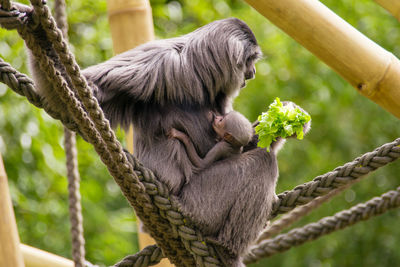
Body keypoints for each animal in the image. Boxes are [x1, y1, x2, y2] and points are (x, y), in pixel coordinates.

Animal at [2, 5, 284, 266]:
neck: (195, 74)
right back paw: (228, 252)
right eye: (250, 62)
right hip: (196, 205)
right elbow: (77, 96)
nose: (252, 73)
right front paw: (38, 30)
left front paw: (277, 126)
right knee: (262, 164)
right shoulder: (160, 62)